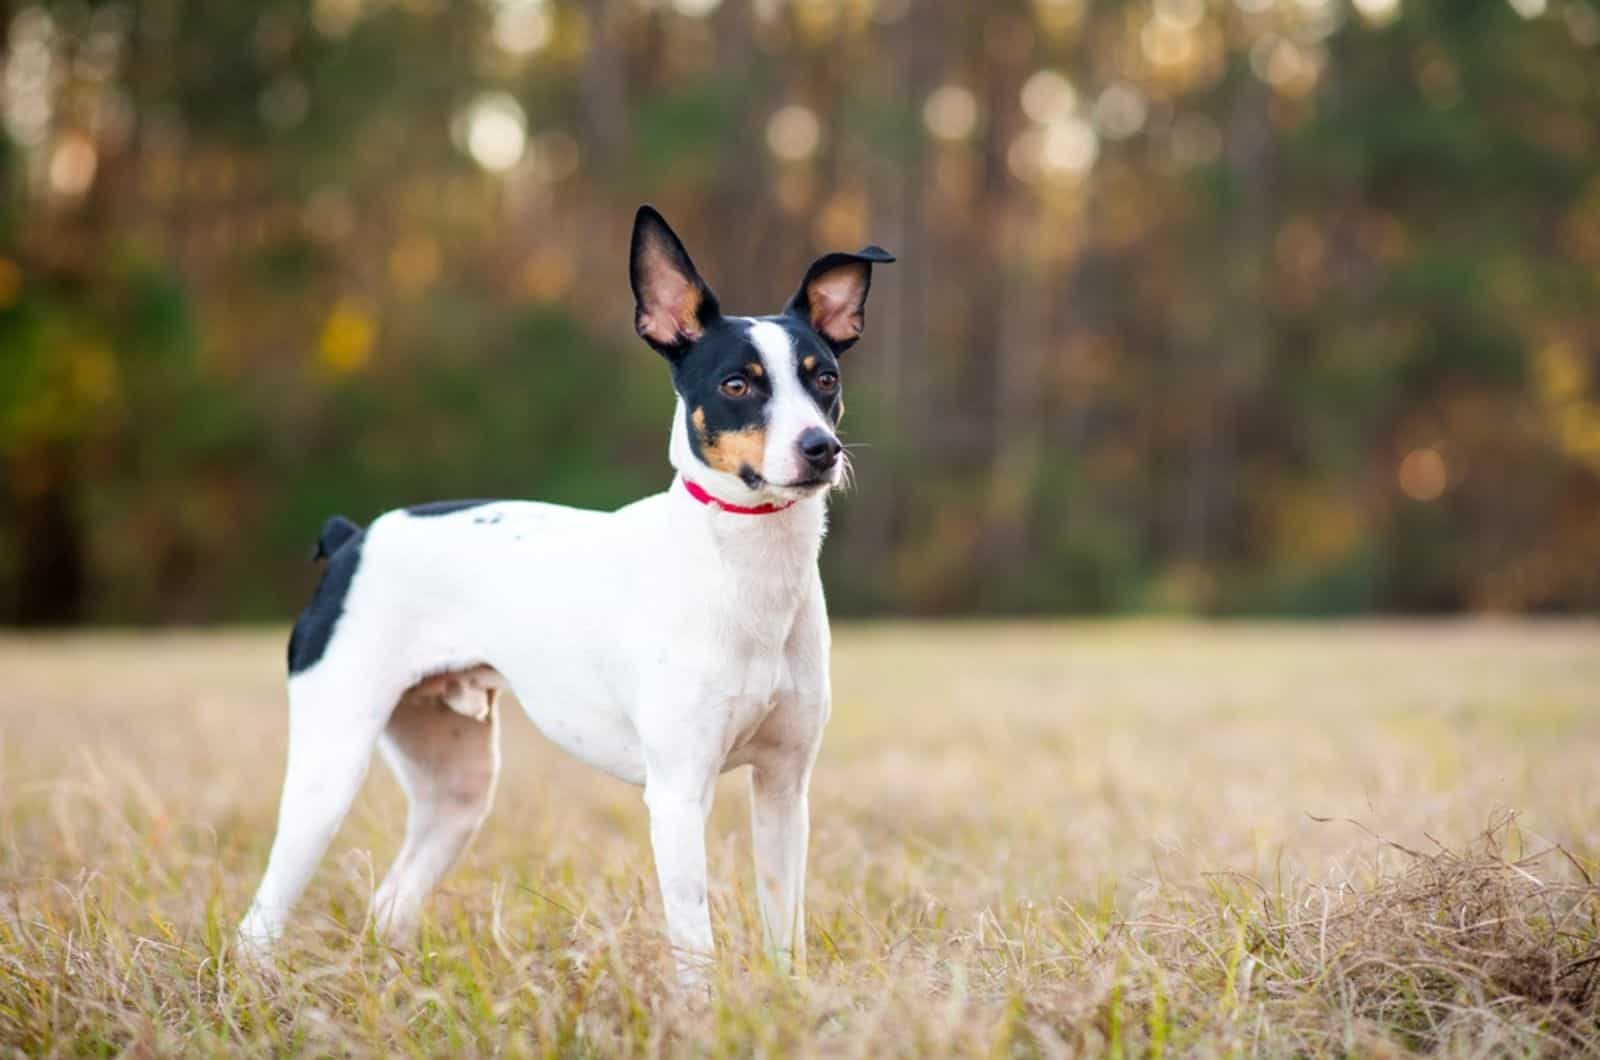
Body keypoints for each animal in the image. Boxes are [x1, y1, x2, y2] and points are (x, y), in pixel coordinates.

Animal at [235, 204, 896, 986]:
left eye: (824, 379)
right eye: (738, 386)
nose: (821, 447)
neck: (744, 570)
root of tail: (352, 540)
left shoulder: (785, 789)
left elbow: (783, 930)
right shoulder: (678, 795)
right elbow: (694, 944)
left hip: (458, 790)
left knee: (391, 902)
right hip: (328, 773)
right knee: (259, 921)